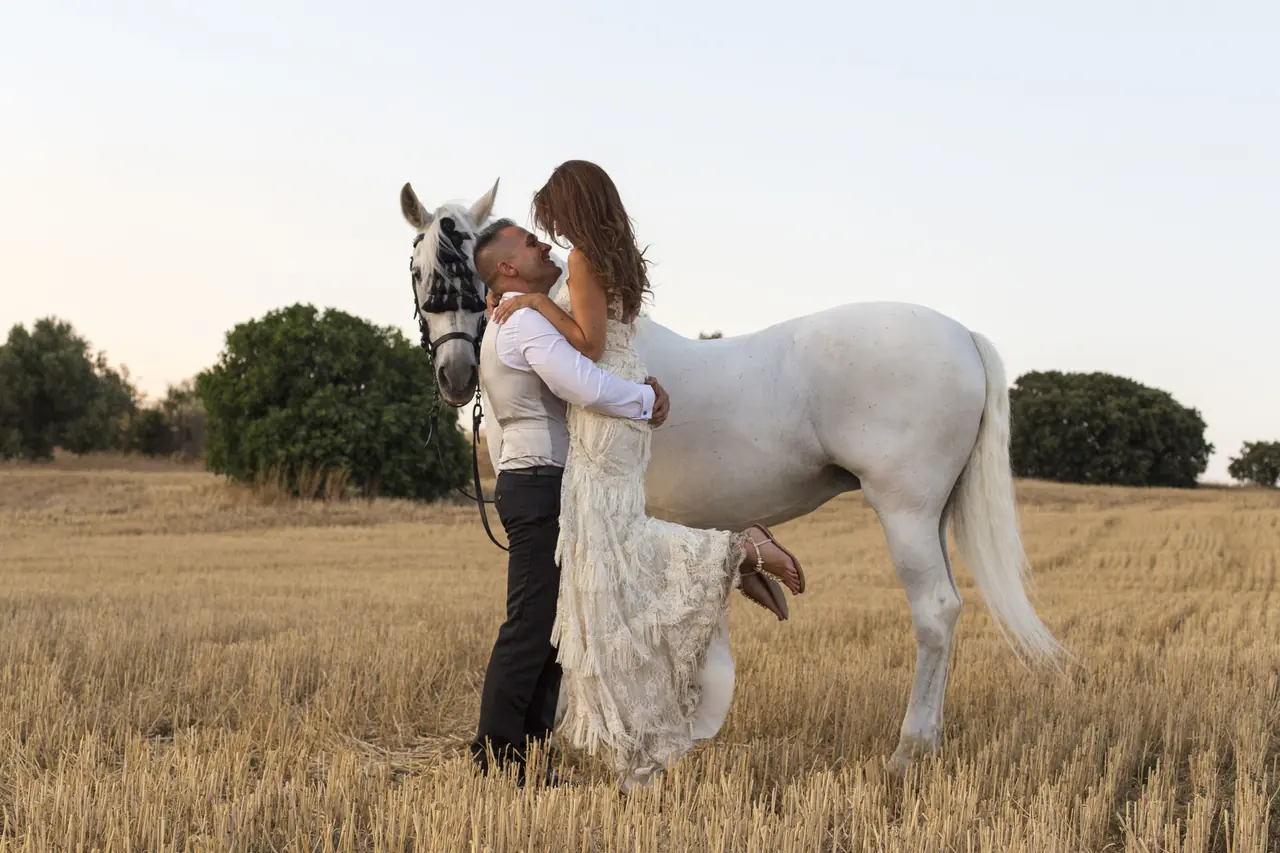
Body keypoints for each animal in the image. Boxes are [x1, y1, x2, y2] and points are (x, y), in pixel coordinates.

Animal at [399, 179, 1068, 771]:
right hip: (935, 514)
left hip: (904, 510)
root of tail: (962, 335)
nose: (456, 375)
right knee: (949, 609)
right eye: (420, 269)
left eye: (465, 265)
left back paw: (906, 753)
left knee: (934, 612)